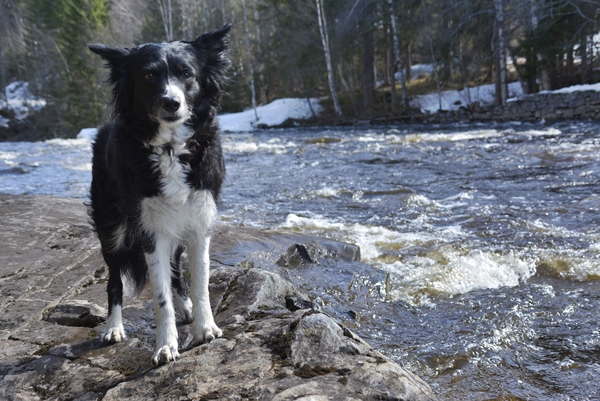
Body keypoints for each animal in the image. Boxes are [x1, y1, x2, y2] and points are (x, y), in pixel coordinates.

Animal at [88, 23, 231, 364]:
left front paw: (205, 328)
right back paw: (114, 327)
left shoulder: (199, 223)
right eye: (148, 76)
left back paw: (186, 308)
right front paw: (165, 345)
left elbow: (200, 283)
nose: (171, 103)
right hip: (112, 228)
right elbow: (159, 295)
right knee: (114, 280)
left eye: (187, 73)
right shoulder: (151, 232)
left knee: (177, 270)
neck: (170, 147)